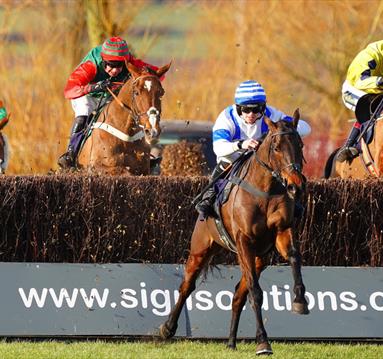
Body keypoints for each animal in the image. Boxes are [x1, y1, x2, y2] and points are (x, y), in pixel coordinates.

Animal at [160, 110, 310, 358]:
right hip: (201, 248)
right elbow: (256, 293)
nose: (295, 186)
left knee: (239, 295)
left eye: (300, 144)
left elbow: (294, 257)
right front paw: (263, 342)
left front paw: (300, 300)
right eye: (277, 147)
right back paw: (168, 328)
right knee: (187, 286)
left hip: (260, 258)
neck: (265, 191)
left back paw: (231, 341)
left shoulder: (281, 231)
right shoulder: (244, 241)